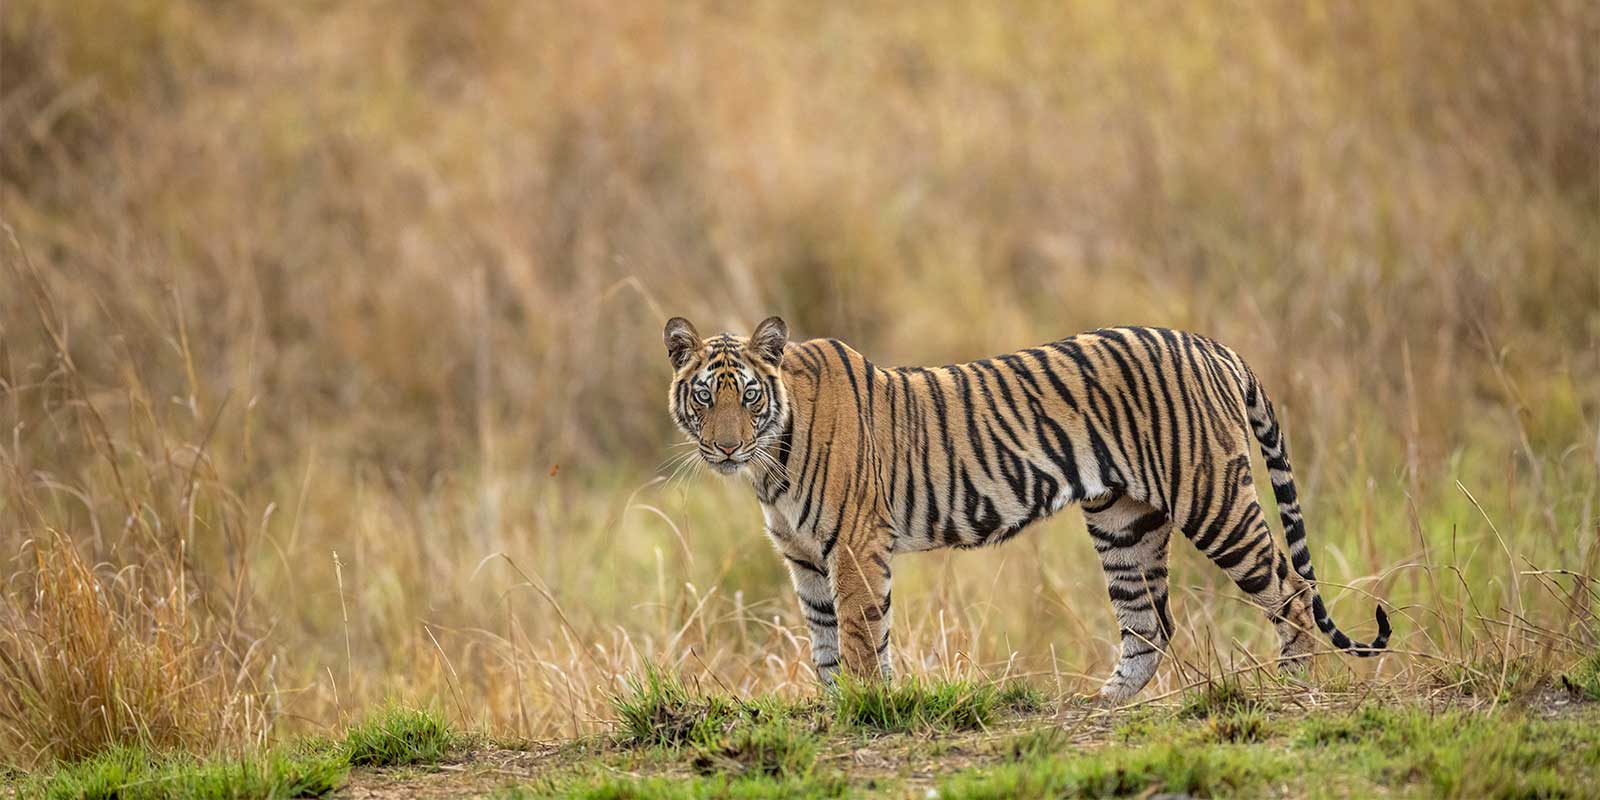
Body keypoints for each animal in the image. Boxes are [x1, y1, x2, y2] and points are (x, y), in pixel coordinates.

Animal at [663, 316, 1389, 701]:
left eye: (748, 395)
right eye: (703, 396)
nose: (724, 445)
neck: (768, 463)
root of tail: (1210, 343)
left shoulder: (854, 546)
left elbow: (861, 635)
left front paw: (867, 708)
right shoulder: (806, 558)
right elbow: (824, 643)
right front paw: (838, 708)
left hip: (1211, 496)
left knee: (1291, 591)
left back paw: (1293, 690)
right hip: (1124, 520)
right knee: (1148, 625)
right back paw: (1105, 707)